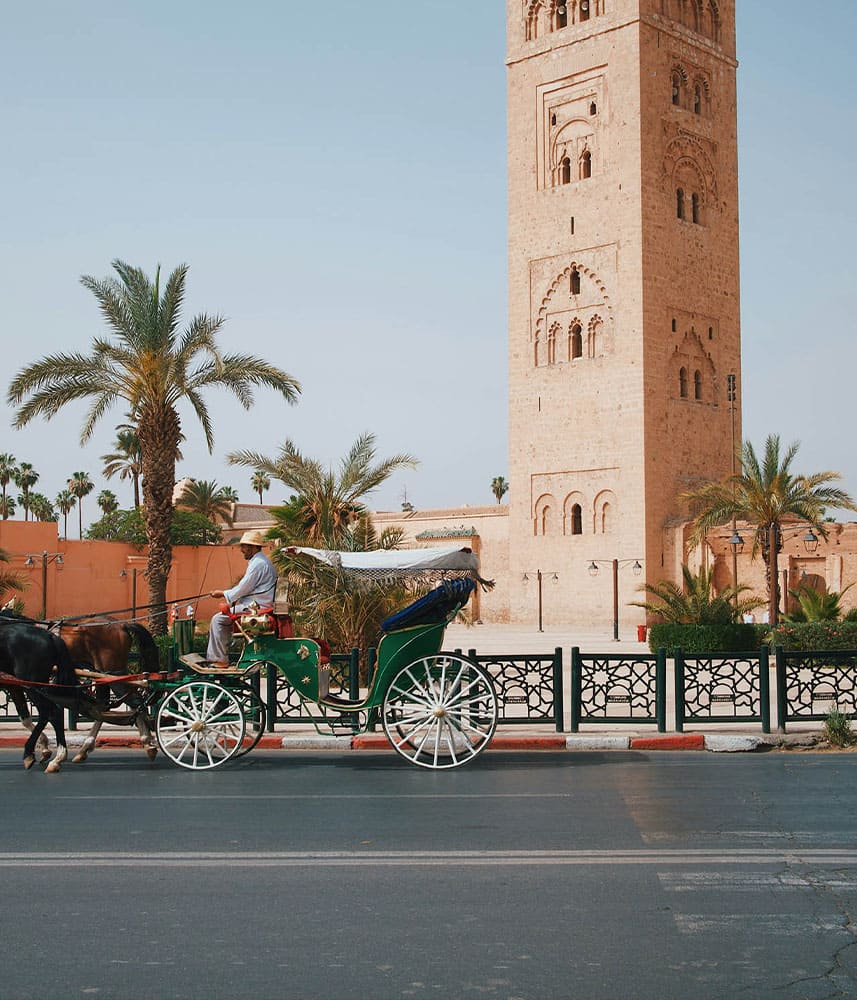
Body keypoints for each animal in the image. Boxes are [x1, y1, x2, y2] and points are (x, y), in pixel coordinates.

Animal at [0, 616, 78, 772]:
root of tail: (49, 635)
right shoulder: (13, 686)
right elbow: (25, 717)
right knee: (49, 713)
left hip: (32, 684)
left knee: (51, 711)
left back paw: (51, 757)